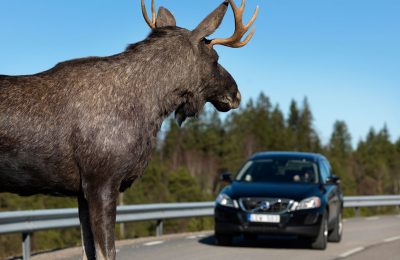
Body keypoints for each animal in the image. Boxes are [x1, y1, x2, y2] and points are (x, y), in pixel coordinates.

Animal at [0, 0, 258, 258]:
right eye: (215, 57)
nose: (236, 94)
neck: (150, 109)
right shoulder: (101, 181)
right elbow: (107, 252)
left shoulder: (81, 190)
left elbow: (88, 251)